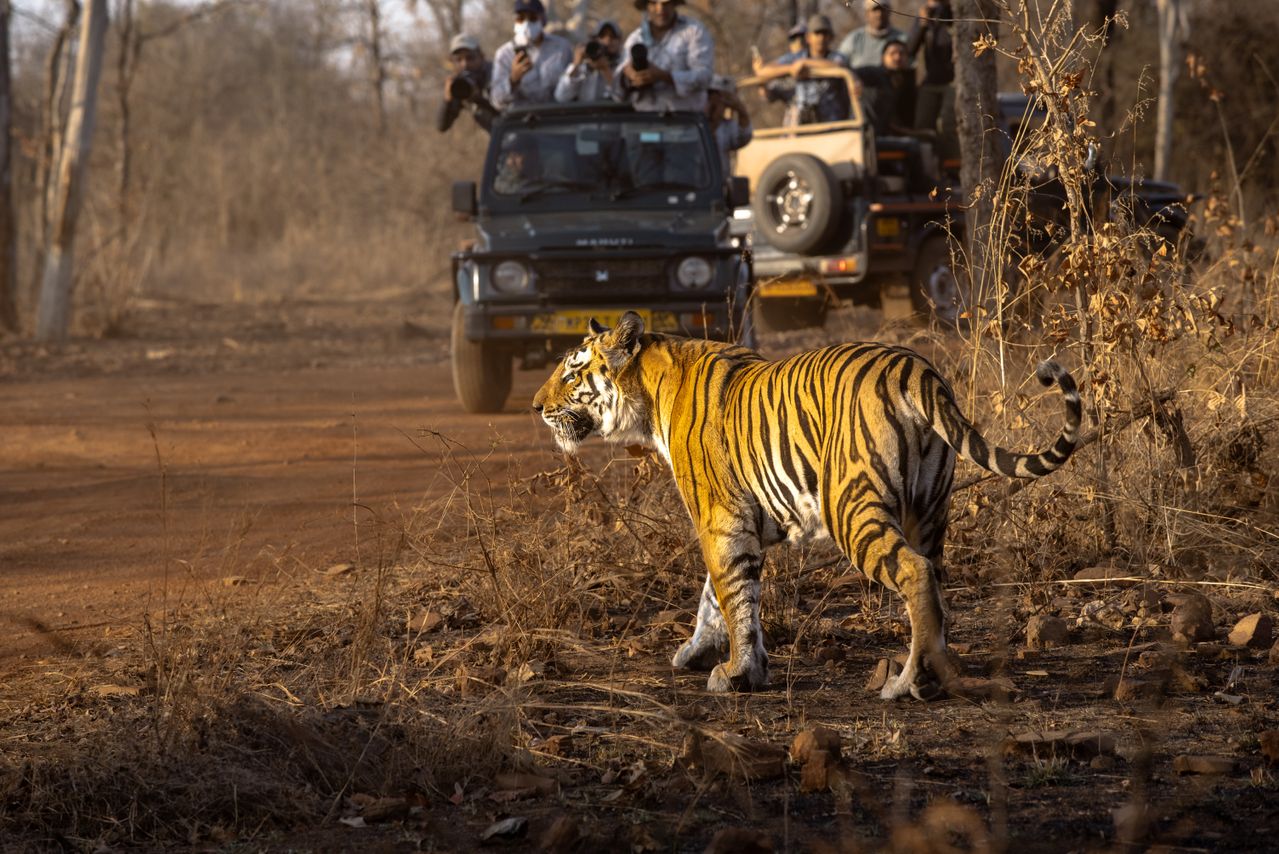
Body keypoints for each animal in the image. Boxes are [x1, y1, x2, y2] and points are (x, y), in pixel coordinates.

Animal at [532, 311, 1080, 699]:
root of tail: (917, 369)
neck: (648, 394)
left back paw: (909, 683)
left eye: (572, 372)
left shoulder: (720, 519)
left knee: (915, 574)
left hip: (850, 507)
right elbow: (715, 594)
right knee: (935, 582)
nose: (537, 406)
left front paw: (738, 672)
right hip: (930, 510)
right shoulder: (742, 520)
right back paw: (931, 672)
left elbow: (733, 594)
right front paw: (697, 652)